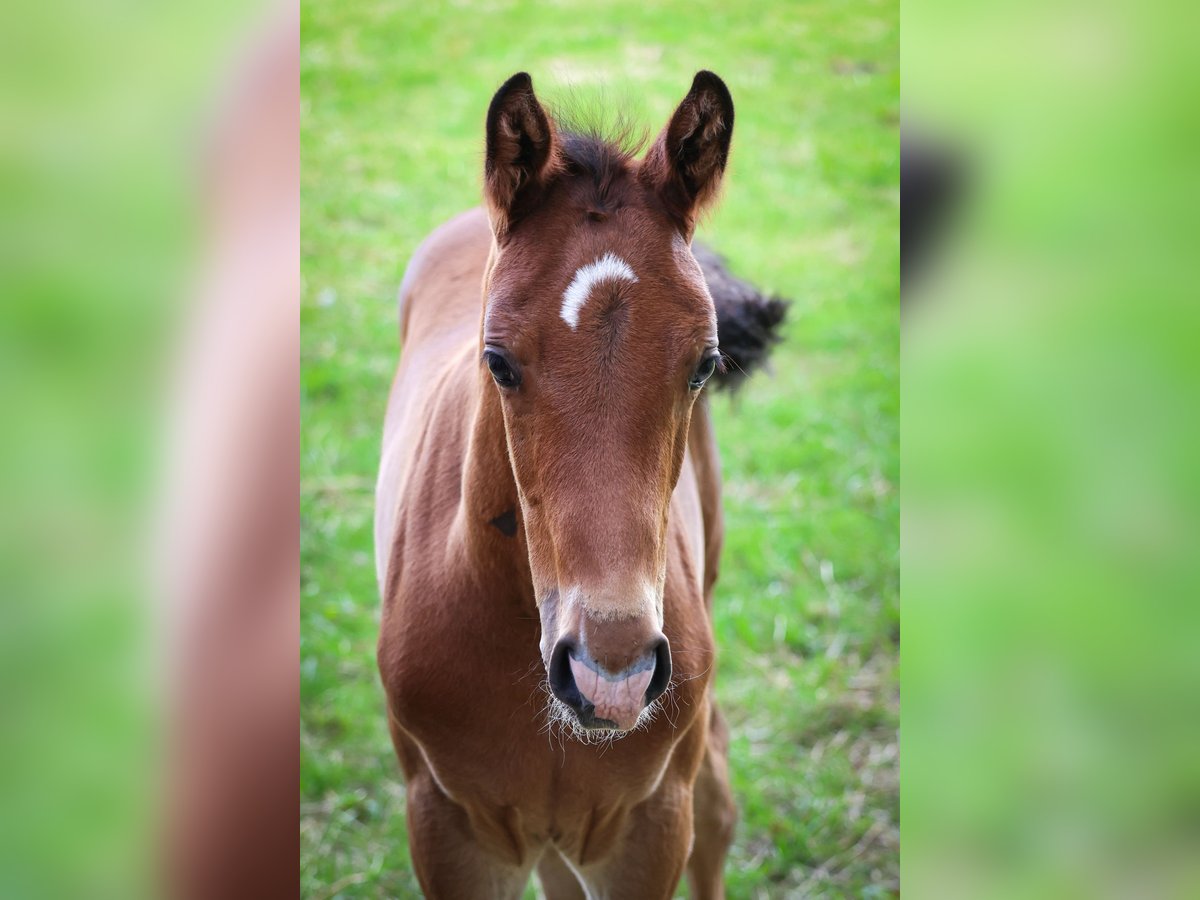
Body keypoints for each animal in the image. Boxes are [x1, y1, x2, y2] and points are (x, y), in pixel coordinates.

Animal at [376, 72, 777, 900]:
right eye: (497, 361)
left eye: (705, 363)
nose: (610, 674)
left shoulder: (646, 828)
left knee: (718, 795)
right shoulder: (447, 829)